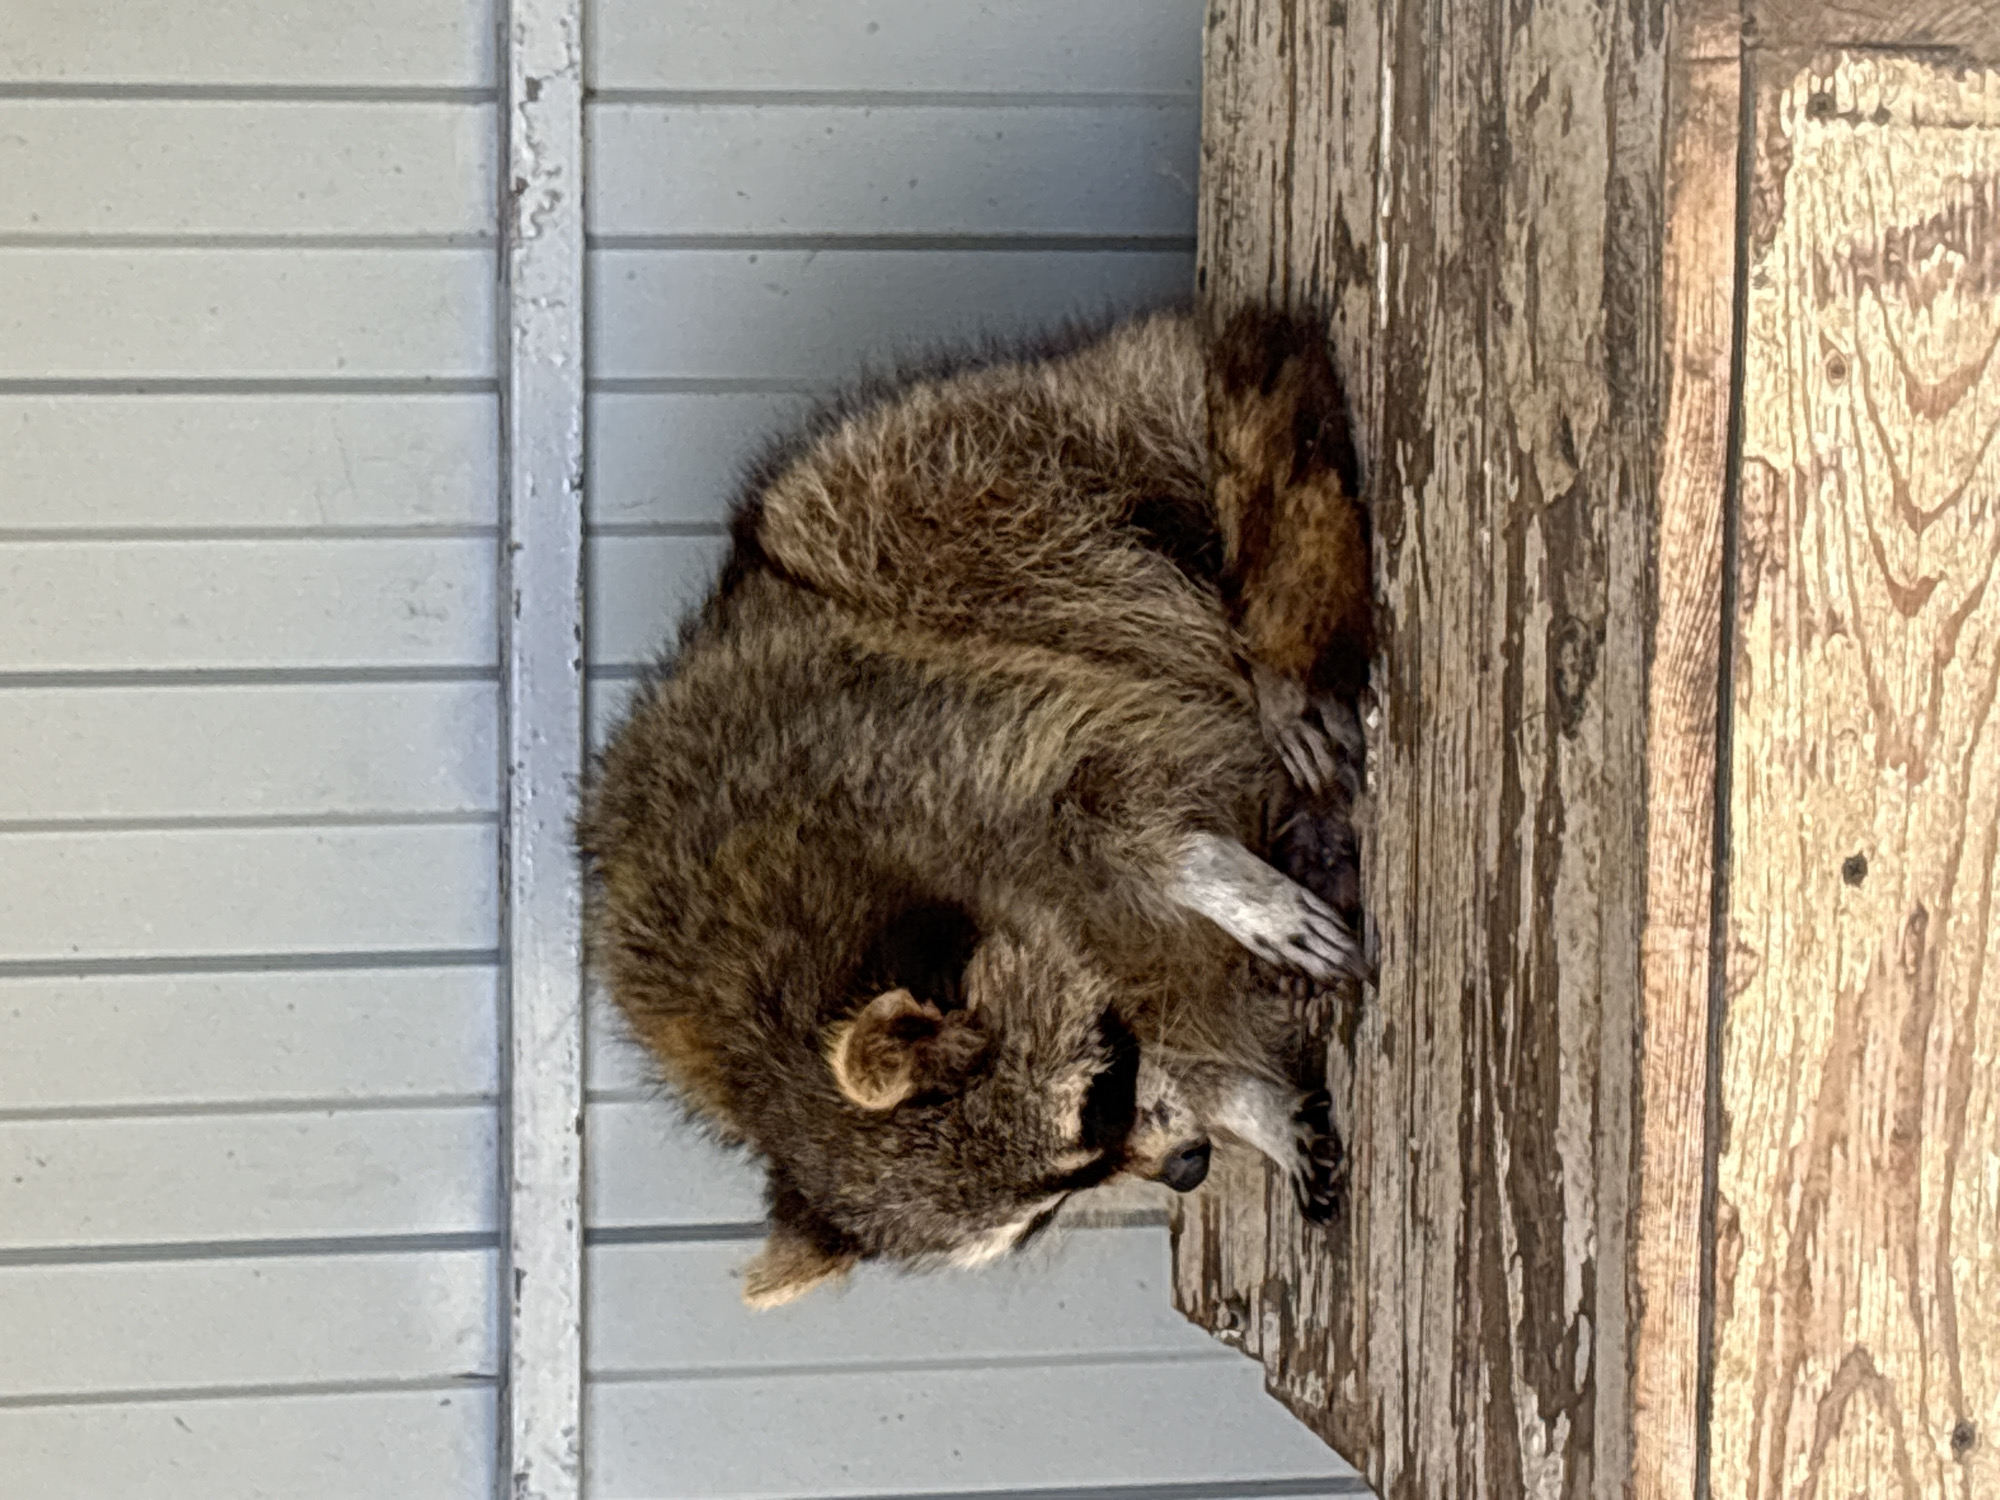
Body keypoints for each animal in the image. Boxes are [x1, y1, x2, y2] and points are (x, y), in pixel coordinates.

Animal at [576, 307, 1372, 1306]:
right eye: (1048, 1212)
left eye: (1099, 1105)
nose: (1188, 1169)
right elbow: (1180, 1027)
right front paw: (1246, 1101)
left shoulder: (933, 738)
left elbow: (1114, 786)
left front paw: (1208, 876)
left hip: (927, 491)